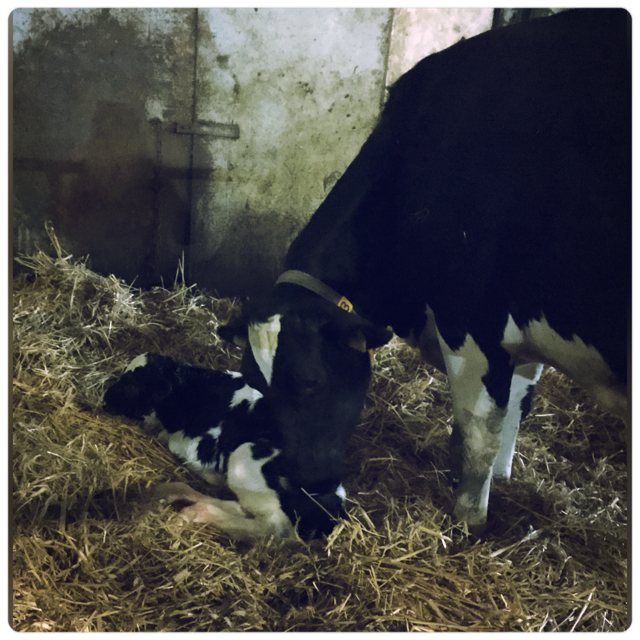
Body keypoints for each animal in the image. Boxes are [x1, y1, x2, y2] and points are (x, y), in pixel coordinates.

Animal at [103, 353, 348, 540]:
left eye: (131, 383)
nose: (105, 399)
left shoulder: (201, 446)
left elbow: (171, 442)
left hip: (245, 458)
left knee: (272, 529)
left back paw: (197, 513)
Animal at [218, 8, 630, 535]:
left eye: (310, 380)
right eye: (257, 380)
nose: (296, 483)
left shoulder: (470, 323)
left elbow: (477, 436)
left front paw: (469, 523)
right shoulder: (518, 333)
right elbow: (518, 405)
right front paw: (503, 483)